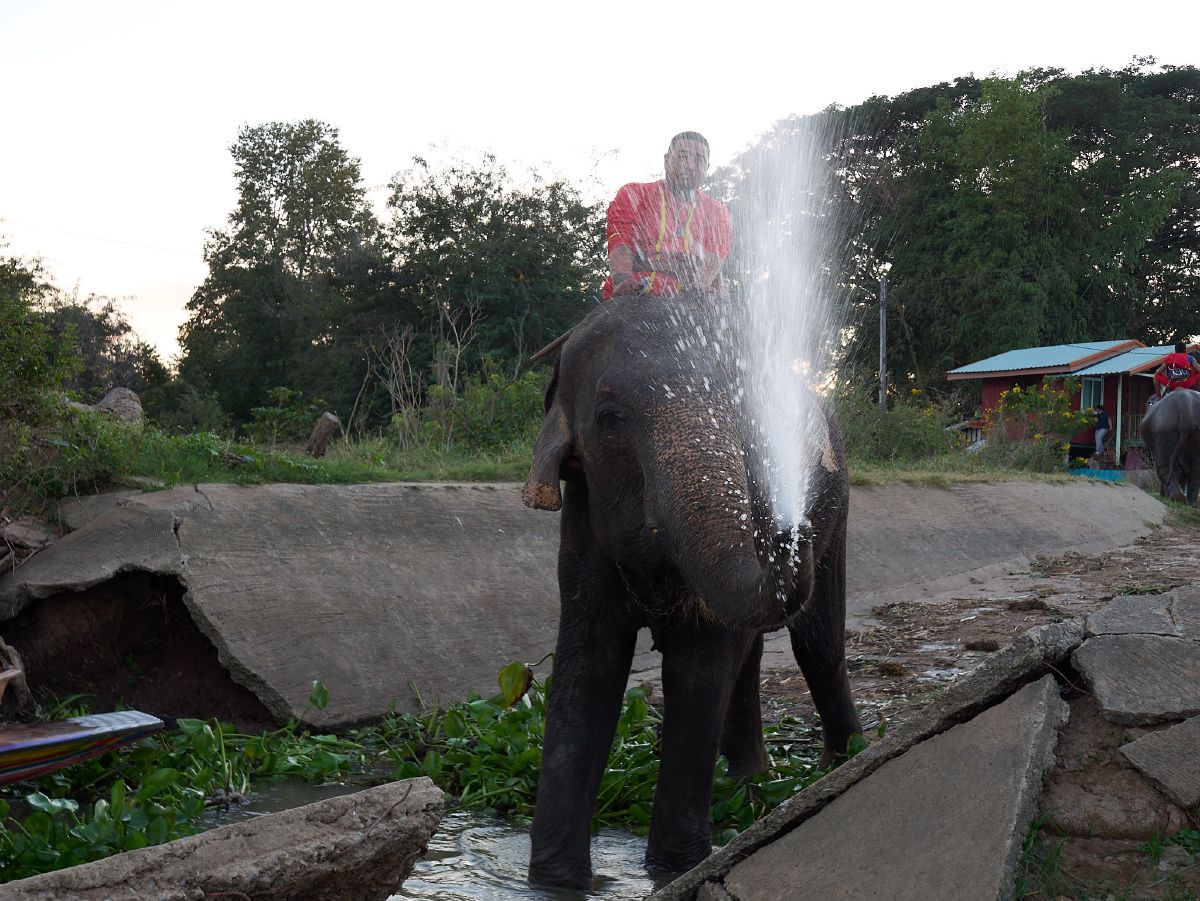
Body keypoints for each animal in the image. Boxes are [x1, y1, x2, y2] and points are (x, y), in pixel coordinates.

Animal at [521, 295, 861, 889]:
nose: (784, 520)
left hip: (839, 506)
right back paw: (747, 781)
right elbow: (588, 666)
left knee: (815, 645)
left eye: (751, 412)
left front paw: (676, 869)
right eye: (609, 418)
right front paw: (555, 882)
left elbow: (699, 667)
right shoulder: (582, 524)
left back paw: (841, 763)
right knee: (751, 655)